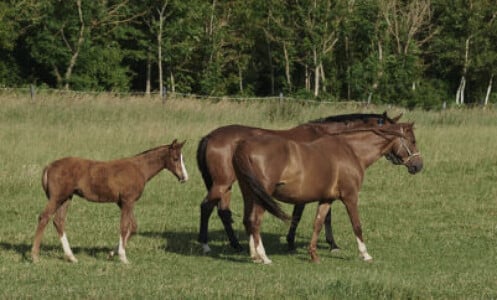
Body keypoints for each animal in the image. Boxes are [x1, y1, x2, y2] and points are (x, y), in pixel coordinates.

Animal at [30, 139, 188, 264]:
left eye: (182, 158)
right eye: (175, 158)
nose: (184, 177)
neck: (139, 168)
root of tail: (49, 166)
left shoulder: (122, 203)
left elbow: (133, 226)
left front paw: (112, 254)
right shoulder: (127, 201)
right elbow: (124, 226)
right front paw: (123, 258)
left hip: (66, 198)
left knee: (59, 221)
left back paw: (71, 257)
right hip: (57, 197)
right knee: (44, 217)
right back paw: (35, 256)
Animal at [196, 111, 402, 252]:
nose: (406, 162)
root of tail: (210, 137)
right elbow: (316, 215)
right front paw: (330, 244)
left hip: (228, 185)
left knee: (223, 212)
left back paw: (236, 244)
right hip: (222, 183)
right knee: (206, 207)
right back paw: (206, 244)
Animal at [232, 123, 422, 264]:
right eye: (412, 141)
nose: (419, 166)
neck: (351, 151)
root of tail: (244, 145)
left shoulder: (326, 199)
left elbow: (318, 224)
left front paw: (314, 255)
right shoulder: (350, 197)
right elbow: (357, 225)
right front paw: (365, 254)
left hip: (250, 194)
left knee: (248, 220)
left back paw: (255, 256)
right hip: (261, 196)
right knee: (255, 221)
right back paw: (264, 257)